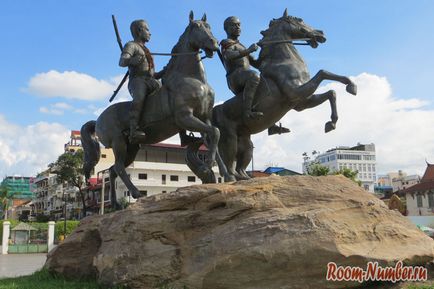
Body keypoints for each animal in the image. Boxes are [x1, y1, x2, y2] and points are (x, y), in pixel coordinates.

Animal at [81, 11, 219, 205]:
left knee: (113, 170)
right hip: (118, 142)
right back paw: (136, 193)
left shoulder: (204, 117)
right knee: (119, 167)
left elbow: (214, 134)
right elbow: (215, 132)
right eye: (196, 27)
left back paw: (116, 204)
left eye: (209, 27)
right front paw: (209, 164)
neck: (193, 78)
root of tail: (98, 119)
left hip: (132, 148)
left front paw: (211, 168)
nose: (214, 43)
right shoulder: (185, 117)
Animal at [212, 9, 358, 180]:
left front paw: (332, 122)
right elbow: (323, 72)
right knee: (228, 159)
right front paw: (351, 86)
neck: (283, 61)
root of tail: (212, 111)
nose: (321, 33)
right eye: (300, 19)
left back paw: (244, 177)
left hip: (245, 138)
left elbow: (331, 92)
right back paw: (231, 178)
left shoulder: (301, 102)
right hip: (229, 136)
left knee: (242, 158)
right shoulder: (296, 92)